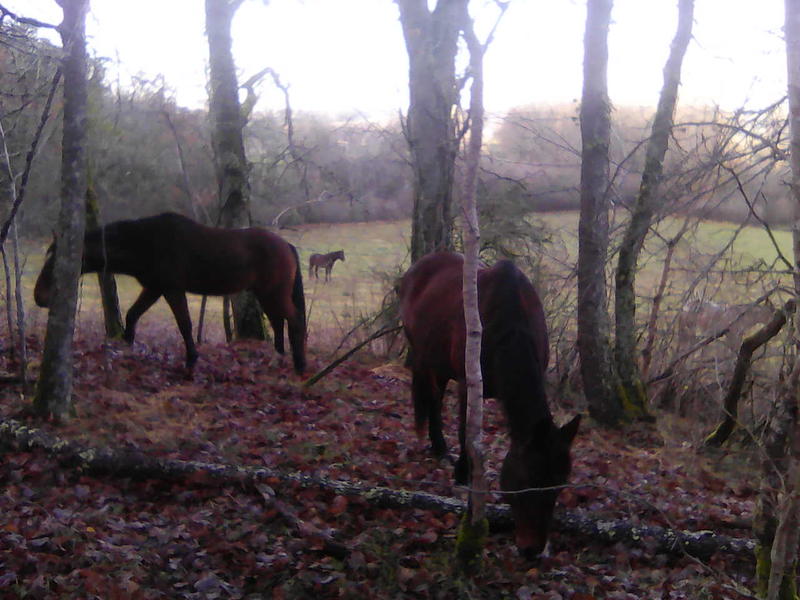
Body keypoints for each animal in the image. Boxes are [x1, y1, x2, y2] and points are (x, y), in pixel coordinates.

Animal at [34, 212, 307, 374]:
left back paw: (299, 366)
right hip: (266, 294)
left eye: (55, 264)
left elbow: (184, 324)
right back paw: (279, 358)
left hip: (274, 293)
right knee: (279, 321)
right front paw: (127, 346)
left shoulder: (172, 290)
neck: (147, 243)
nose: (39, 297)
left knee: (293, 321)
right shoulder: (154, 288)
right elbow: (133, 315)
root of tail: (286, 245)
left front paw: (191, 363)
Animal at [398, 251, 580, 558]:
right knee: (433, 399)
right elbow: (466, 434)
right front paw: (463, 476)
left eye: (558, 486)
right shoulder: (467, 383)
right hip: (426, 357)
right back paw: (440, 449)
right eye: (527, 481)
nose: (532, 550)